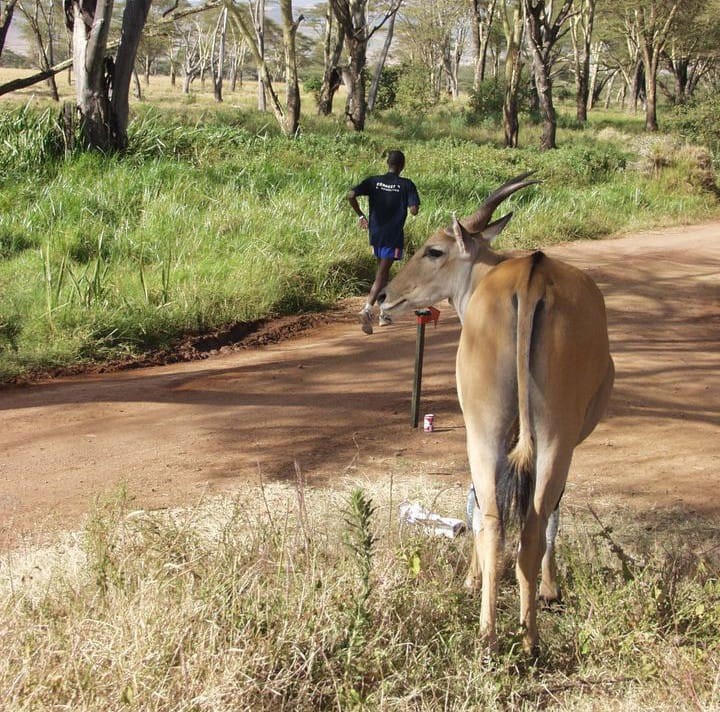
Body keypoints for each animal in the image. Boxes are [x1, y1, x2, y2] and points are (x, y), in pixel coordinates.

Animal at [376, 171, 612, 652]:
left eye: (434, 249)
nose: (386, 296)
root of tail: (532, 276)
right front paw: (547, 590)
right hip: (547, 436)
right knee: (524, 525)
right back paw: (523, 636)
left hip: (497, 433)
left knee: (503, 523)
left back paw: (493, 634)